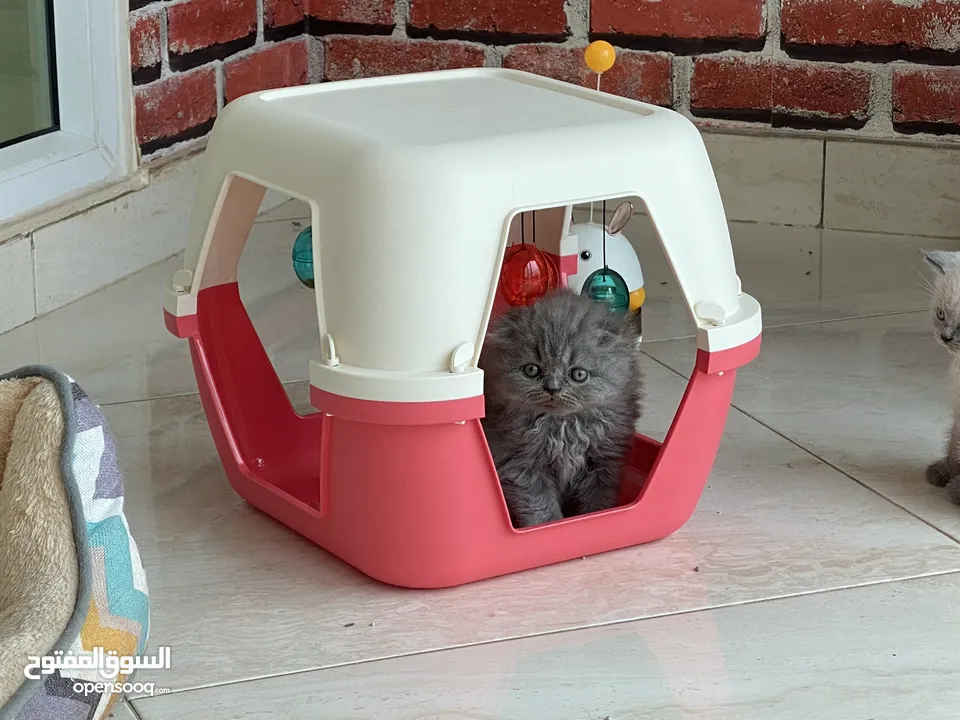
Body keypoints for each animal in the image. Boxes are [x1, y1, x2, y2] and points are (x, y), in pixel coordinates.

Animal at [480, 286, 644, 528]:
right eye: (532, 370)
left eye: (579, 374)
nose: (552, 388)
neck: (564, 429)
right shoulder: (521, 465)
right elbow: (540, 507)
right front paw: (550, 525)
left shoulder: (605, 461)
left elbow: (598, 500)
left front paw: (597, 518)